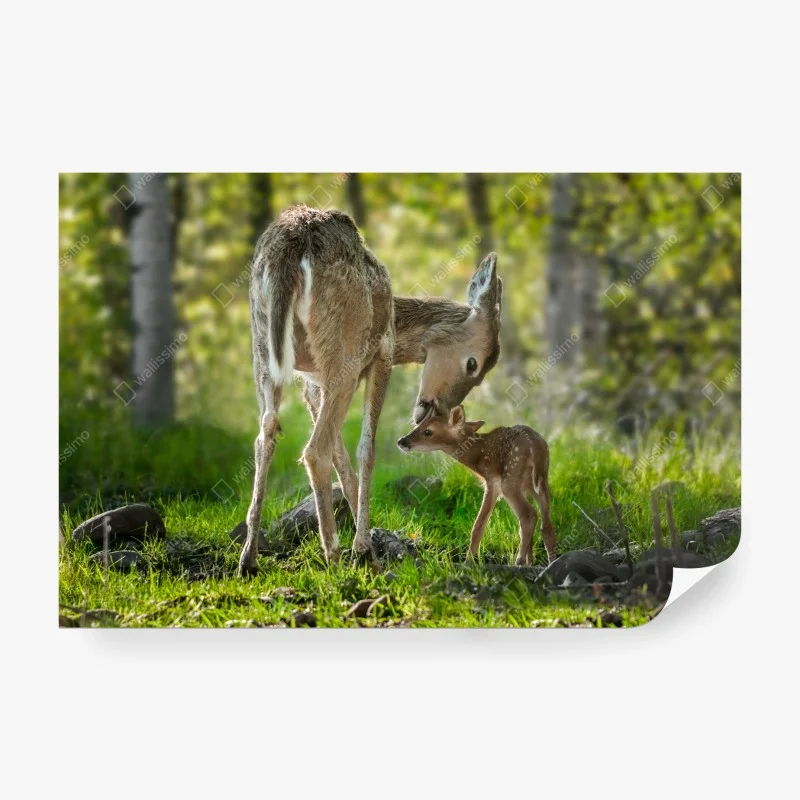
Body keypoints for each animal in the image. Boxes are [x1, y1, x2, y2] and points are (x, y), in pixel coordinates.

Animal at [239, 204, 502, 576]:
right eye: (473, 365)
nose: (435, 410)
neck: (396, 321)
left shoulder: (311, 383)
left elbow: (343, 458)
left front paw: (370, 547)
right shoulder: (382, 356)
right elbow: (366, 449)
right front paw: (364, 548)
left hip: (262, 345)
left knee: (266, 435)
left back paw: (248, 557)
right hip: (343, 351)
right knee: (314, 450)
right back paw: (333, 555)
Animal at [396, 405, 558, 565]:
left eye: (428, 431)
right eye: (418, 425)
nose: (401, 441)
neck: (478, 455)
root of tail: (535, 447)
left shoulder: (492, 481)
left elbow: (478, 525)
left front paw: (468, 562)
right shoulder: (523, 487)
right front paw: (530, 562)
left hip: (510, 477)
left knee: (529, 515)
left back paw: (519, 560)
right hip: (541, 480)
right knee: (546, 523)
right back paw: (550, 560)